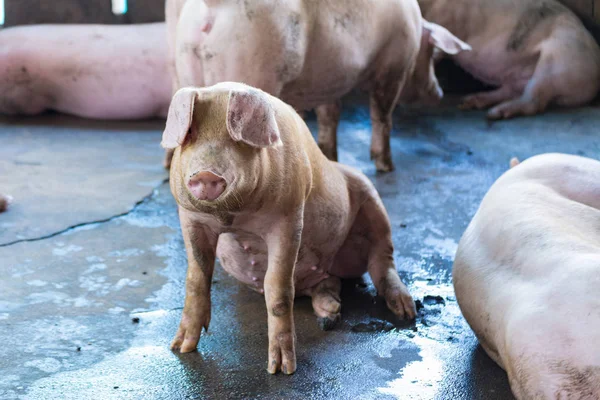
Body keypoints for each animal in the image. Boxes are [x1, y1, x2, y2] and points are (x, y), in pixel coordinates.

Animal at [164, 82, 418, 376]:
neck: (234, 218)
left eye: (236, 138)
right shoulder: (190, 218)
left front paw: (281, 369)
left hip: (370, 197)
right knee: (329, 282)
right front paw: (180, 348)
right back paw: (330, 312)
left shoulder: (289, 218)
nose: (206, 175)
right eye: (190, 133)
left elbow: (278, 287)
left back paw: (406, 311)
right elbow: (196, 278)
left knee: (382, 259)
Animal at [166, 0, 472, 170]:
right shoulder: (392, 69)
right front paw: (386, 165)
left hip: (183, 64)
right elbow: (382, 115)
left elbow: (329, 114)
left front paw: (329, 154)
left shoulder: (328, 78)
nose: (439, 92)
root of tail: (214, 5)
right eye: (434, 53)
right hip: (246, 65)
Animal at [420, 0, 600, 119]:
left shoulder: (448, 20)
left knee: (533, 101)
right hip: (519, 76)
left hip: (557, 60)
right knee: (510, 91)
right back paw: (470, 101)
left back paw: (495, 113)